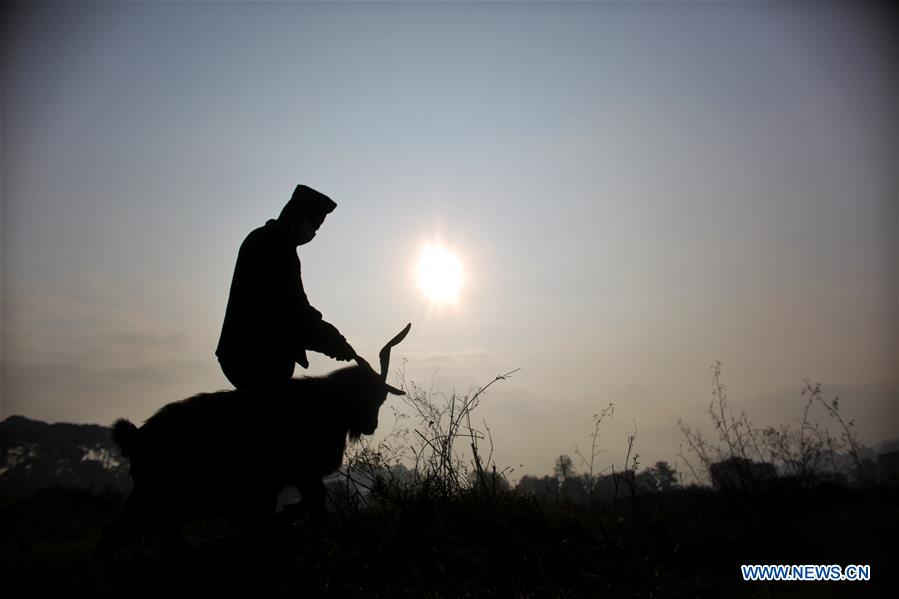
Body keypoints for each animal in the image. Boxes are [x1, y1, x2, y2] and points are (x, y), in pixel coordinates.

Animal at [95, 324, 412, 556]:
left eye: (381, 398)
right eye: (368, 395)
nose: (371, 426)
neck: (328, 404)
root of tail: (137, 436)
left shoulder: (292, 477)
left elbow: (310, 504)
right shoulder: (300, 472)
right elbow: (313, 504)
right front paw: (286, 523)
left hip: (160, 494)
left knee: (137, 532)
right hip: (162, 492)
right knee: (129, 532)